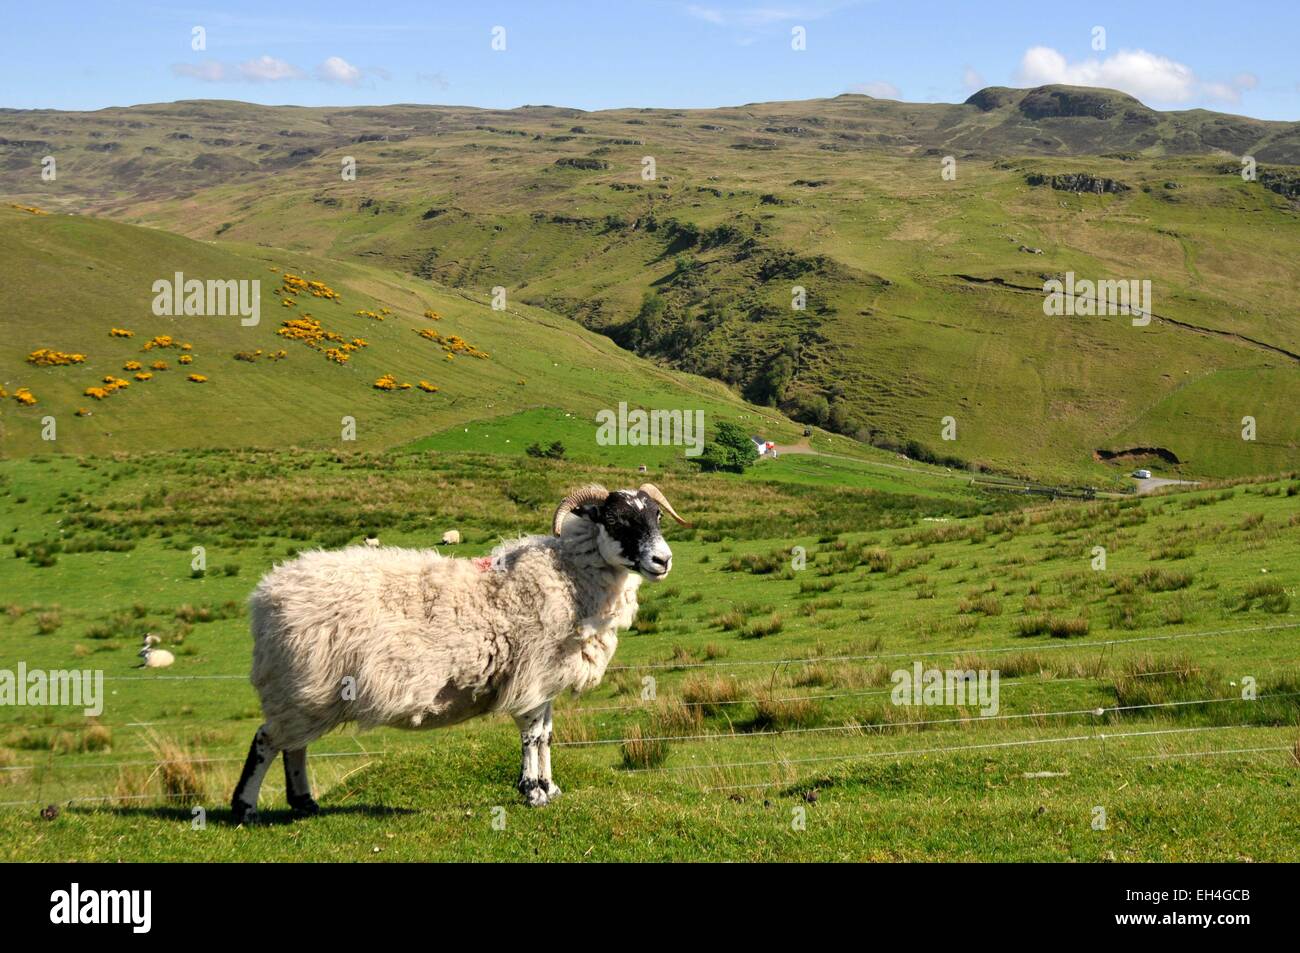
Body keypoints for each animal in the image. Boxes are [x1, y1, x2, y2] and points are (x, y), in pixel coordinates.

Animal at [228, 478, 686, 821]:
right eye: (618, 520)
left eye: (656, 516)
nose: (663, 561)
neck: (567, 576)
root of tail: (266, 593)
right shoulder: (531, 674)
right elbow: (531, 736)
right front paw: (532, 792)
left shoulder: (548, 680)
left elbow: (547, 735)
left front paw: (551, 788)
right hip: (298, 682)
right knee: (267, 740)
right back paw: (245, 807)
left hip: (307, 690)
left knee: (294, 744)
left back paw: (304, 802)